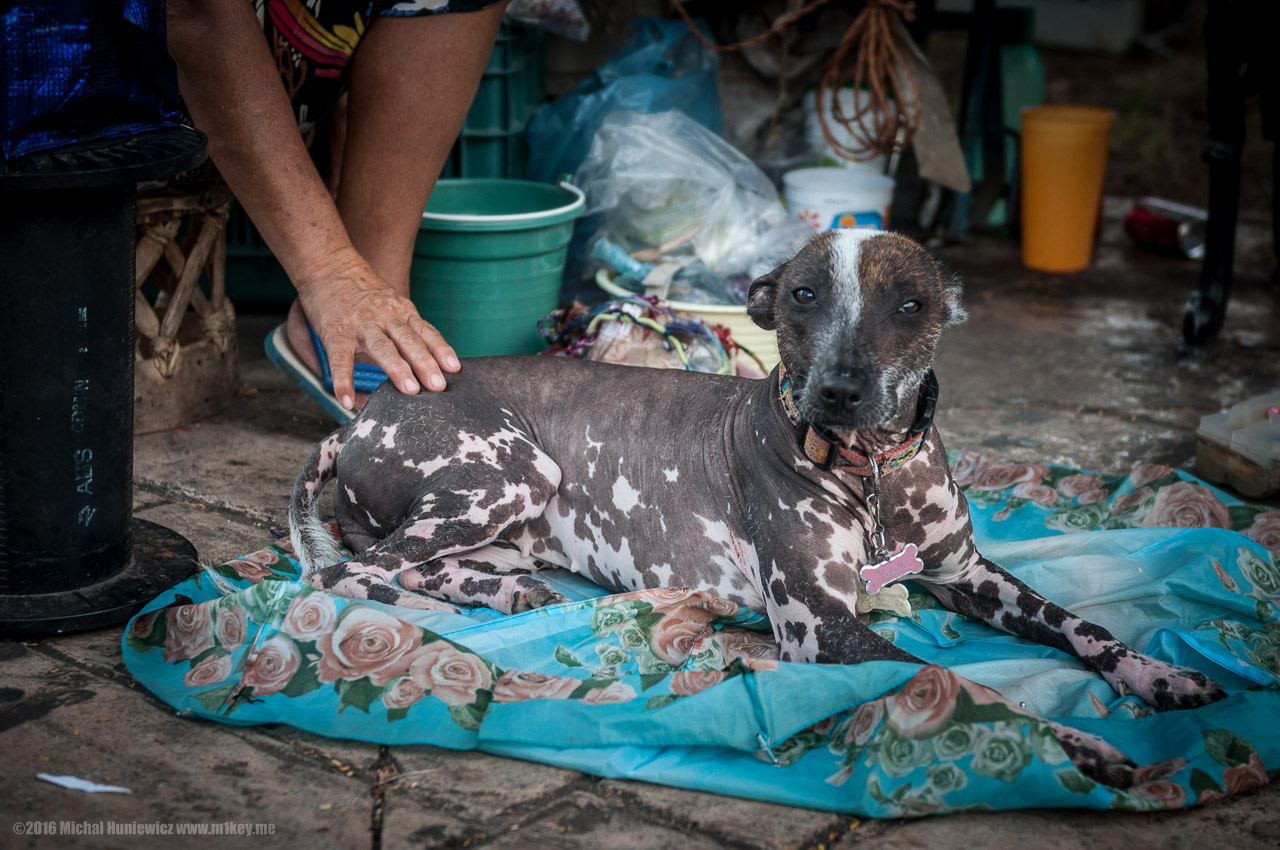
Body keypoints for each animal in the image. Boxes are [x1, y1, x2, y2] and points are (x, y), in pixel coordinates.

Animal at [293, 230, 1228, 716]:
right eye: (803, 296)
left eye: (912, 304)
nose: (840, 388)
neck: (872, 471)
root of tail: (361, 418)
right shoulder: (819, 626)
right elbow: (962, 682)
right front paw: (1088, 745)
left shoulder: (970, 576)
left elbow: (1082, 627)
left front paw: (1159, 674)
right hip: (511, 471)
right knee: (348, 573)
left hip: (505, 517)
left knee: (423, 565)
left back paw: (503, 595)